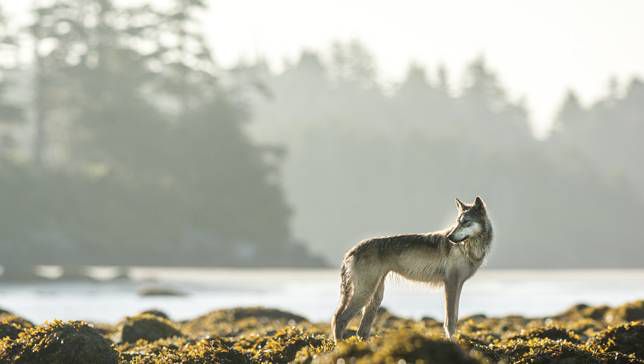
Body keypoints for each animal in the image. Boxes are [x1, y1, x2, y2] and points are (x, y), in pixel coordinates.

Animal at [332, 196, 494, 342]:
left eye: (466, 222)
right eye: (457, 222)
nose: (449, 237)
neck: (468, 248)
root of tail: (352, 250)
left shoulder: (458, 285)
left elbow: (455, 317)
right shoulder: (451, 284)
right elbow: (450, 322)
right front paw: (452, 343)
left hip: (375, 298)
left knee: (361, 331)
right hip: (364, 294)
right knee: (339, 319)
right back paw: (340, 346)